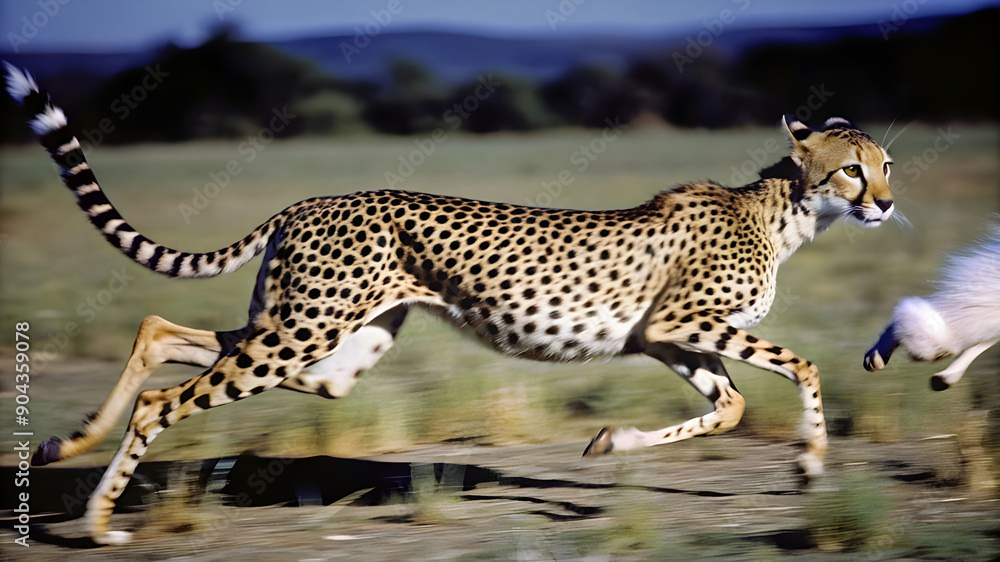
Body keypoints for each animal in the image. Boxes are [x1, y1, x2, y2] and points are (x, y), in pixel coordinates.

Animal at [6, 63, 894, 545]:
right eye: (851, 170)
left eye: (887, 164)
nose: (886, 205)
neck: (783, 212)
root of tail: (308, 201)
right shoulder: (680, 324)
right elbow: (801, 367)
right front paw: (813, 461)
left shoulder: (665, 338)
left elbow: (733, 406)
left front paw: (610, 443)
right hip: (304, 331)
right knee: (163, 399)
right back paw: (98, 521)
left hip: (324, 342)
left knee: (164, 330)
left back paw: (62, 445)